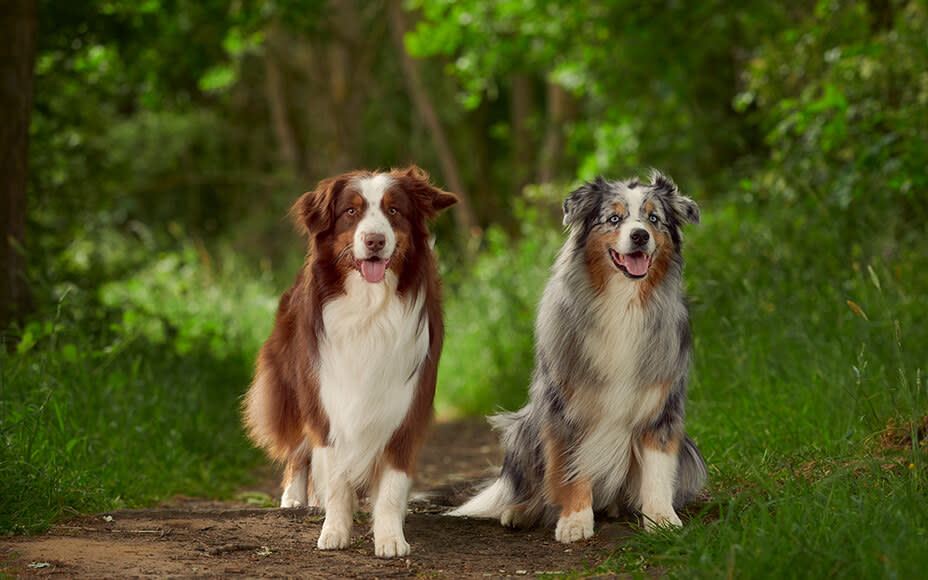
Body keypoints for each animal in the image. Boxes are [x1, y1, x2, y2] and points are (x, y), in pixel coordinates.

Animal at [241, 167, 454, 556]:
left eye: (394, 211)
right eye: (351, 212)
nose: (374, 241)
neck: (368, 308)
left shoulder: (406, 405)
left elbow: (392, 485)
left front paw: (390, 537)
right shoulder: (327, 398)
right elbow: (337, 476)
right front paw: (335, 531)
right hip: (293, 388)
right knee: (299, 450)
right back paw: (295, 497)